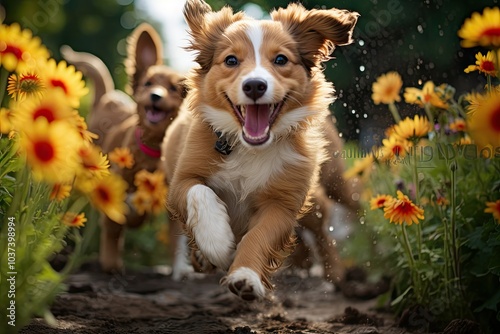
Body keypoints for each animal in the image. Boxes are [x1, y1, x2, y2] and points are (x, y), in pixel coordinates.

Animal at [62, 22, 187, 272]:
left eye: (174, 89)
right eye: (148, 84)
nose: (155, 95)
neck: (155, 150)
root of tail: (108, 96)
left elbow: (176, 238)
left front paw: (180, 270)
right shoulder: (116, 187)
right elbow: (113, 228)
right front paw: (111, 263)